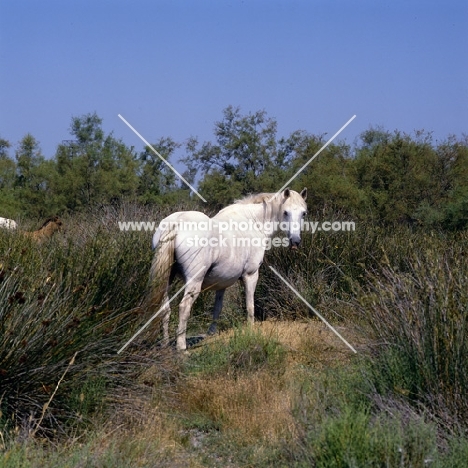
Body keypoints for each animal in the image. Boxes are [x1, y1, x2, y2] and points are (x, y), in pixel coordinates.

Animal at [150, 188, 308, 350]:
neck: (253, 222)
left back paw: (165, 344)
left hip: (166, 279)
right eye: (286, 212)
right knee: (184, 307)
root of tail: (176, 223)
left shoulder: (222, 283)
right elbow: (250, 306)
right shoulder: (251, 275)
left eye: (304, 213)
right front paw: (250, 331)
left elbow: (217, 308)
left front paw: (211, 333)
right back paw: (182, 347)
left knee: (165, 309)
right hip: (194, 281)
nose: (295, 241)